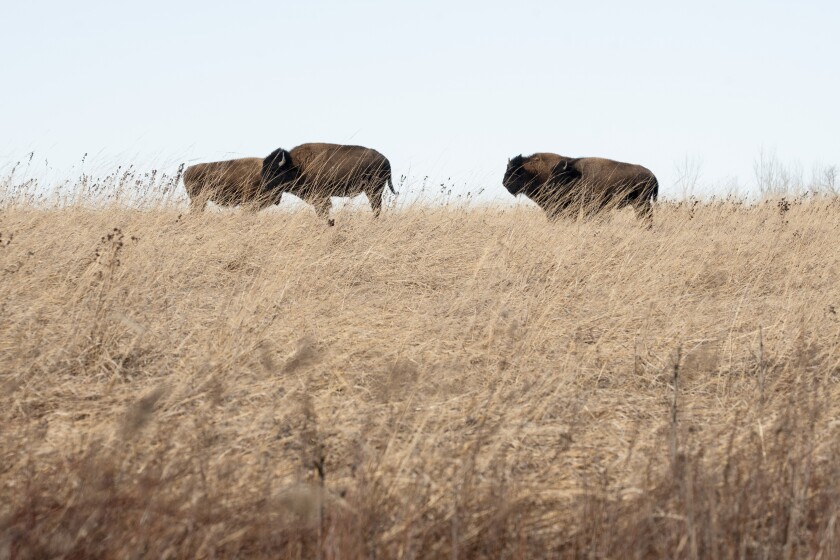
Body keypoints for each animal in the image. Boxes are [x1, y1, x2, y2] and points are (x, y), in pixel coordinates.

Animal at [262, 143, 396, 225]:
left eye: (274, 171)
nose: (263, 188)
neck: (297, 166)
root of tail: (386, 160)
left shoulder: (321, 198)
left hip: (374, 191)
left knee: (376, 208)